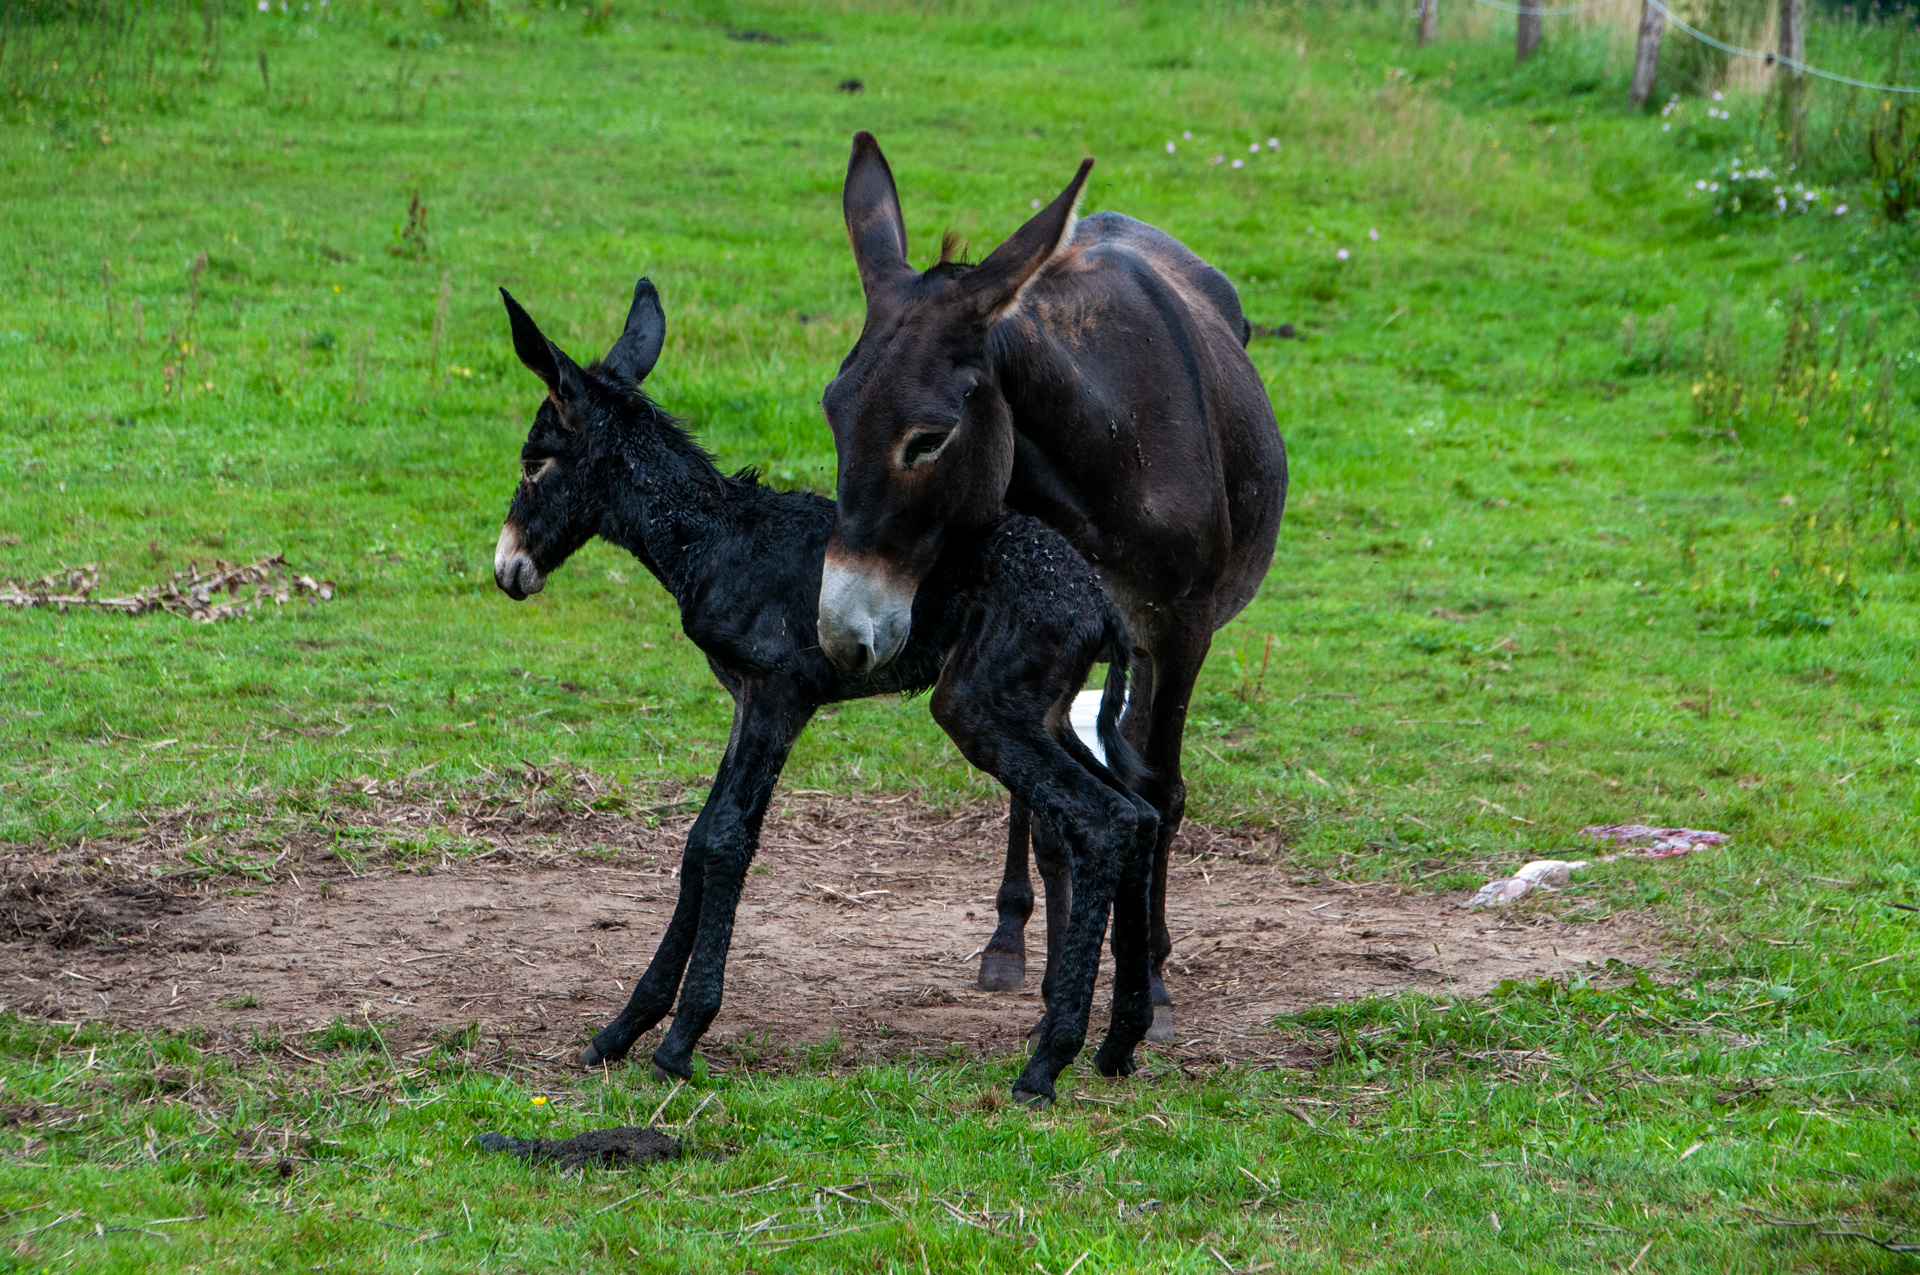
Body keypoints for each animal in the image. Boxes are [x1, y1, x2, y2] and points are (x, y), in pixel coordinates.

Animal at [487, 282, 1159, 1106]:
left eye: (534, 462)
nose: (508, 568)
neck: (715, 540)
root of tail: (1097, 602)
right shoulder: (744, 701)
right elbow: (698, 839)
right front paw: (624, 1028)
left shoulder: (779, 693)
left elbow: (726, 839)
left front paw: (679, 1039)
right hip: (1046, 713)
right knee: (1139, 815)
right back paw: (1120, 1040)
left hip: (977, 707)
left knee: (1102, 820)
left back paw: (1049, 1059)